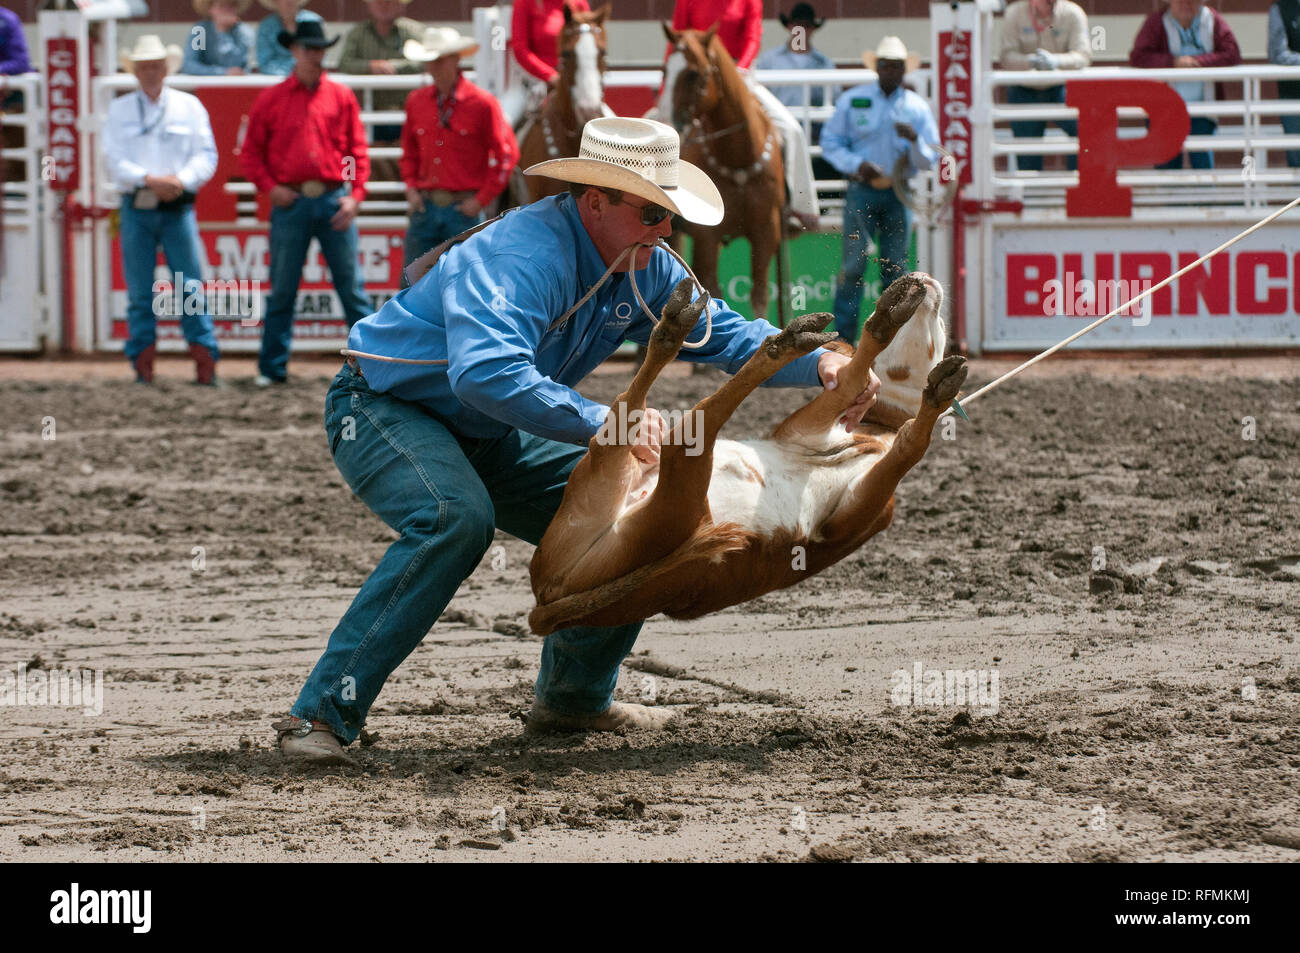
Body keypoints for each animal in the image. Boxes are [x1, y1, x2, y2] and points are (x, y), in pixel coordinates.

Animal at [527, 271, 967, 634]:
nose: (926, 280)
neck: (878, 429)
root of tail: (548, 595)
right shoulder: (808, 428)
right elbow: (853, 379)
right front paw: (888, 317)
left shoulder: (854, 516)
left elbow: (909, 444)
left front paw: (936, 392)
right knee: (680, 423)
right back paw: (775, 338)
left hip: (657, 507)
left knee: (674, 428)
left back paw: (693, 331)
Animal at [660, 23, 780, 327]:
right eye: (664, 70)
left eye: (692, 73)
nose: (666, 121)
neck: (737, 159)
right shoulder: (707, 236)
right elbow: (709, 290)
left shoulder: (765, 232)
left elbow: (759, 294)